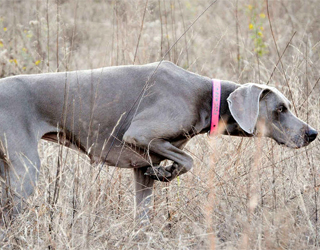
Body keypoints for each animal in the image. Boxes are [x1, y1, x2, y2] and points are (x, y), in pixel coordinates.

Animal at [0, 60, 318, 225]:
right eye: (280, 109)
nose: (312, 133)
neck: (206, 97)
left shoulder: (141, 167)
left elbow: (143, 212)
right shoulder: (140, 134)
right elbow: (189, 160)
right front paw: (168, 172)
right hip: (25, 169)